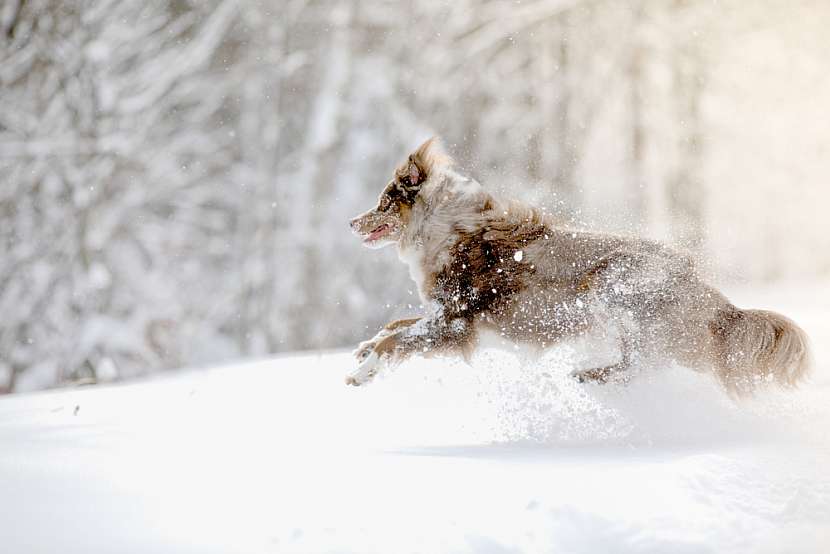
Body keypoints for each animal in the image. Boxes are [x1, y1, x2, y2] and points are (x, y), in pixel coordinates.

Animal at [346, 137, 812, 392]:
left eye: (383, 202)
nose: (350, 222)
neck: (444, 228)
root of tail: (708, 293)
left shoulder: (457, 323)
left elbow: (397, 338)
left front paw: (363, 372)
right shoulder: (442, 316)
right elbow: (395, 326)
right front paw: (363, 349)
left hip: (611, 284)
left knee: (643, 363)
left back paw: (588, 374)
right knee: (644, 363)